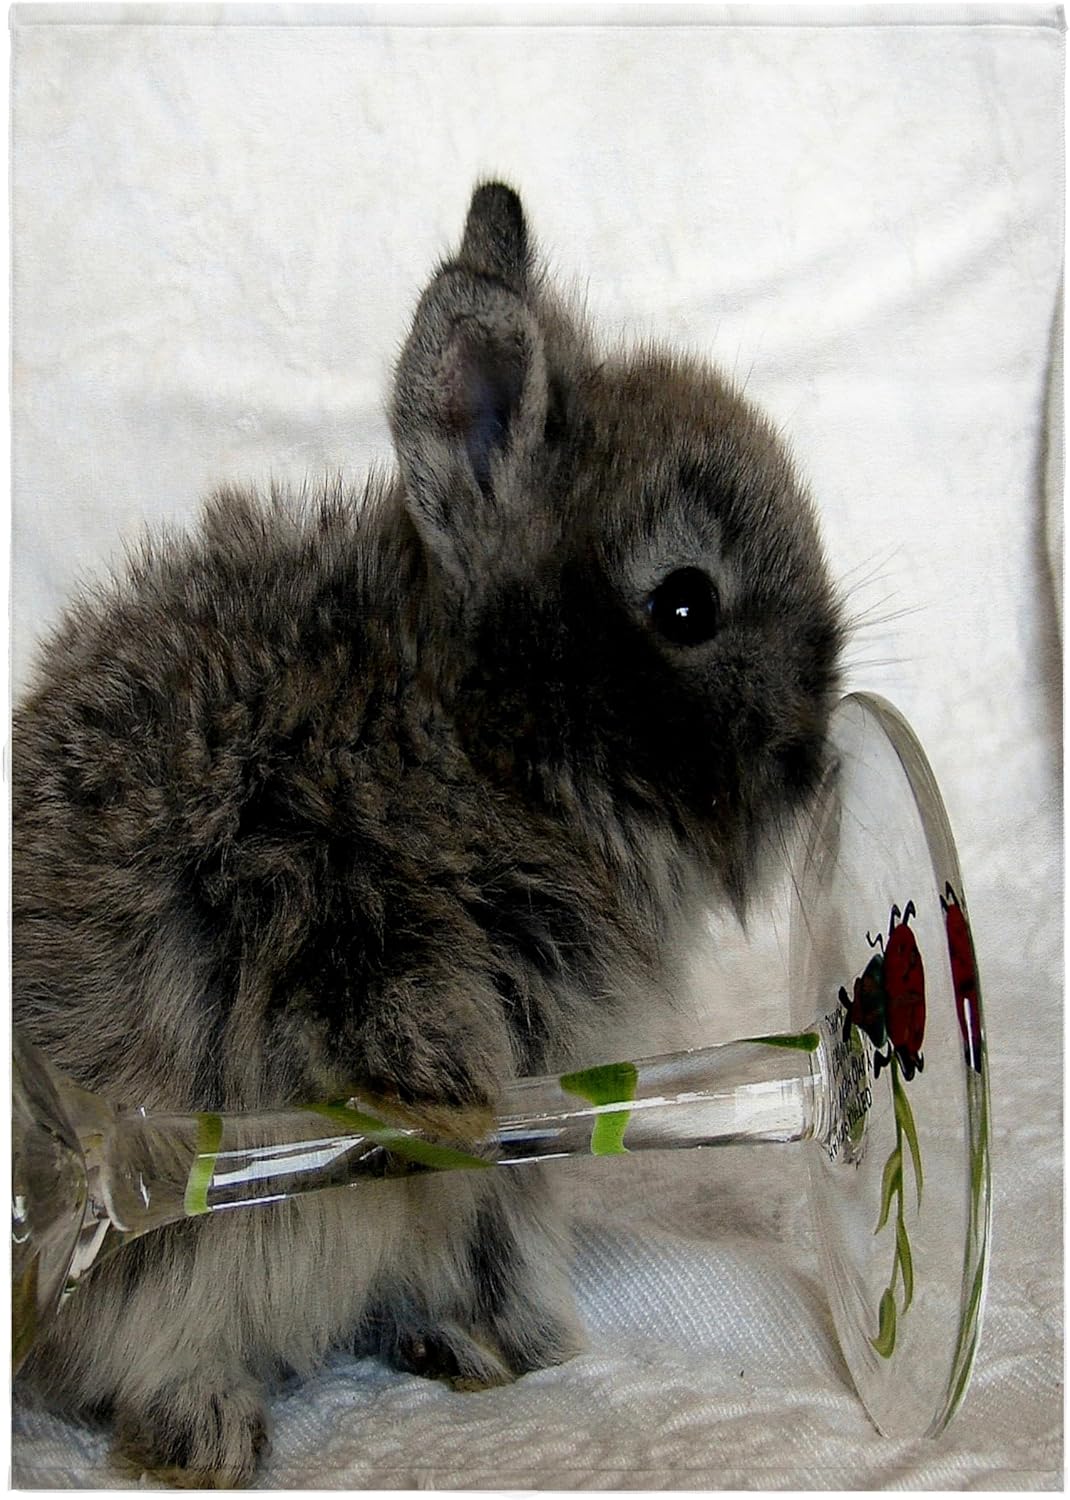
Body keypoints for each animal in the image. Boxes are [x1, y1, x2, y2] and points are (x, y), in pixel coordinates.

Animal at [13, 182, 844, 1487]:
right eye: (683, 606)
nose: (810, 759)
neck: (482, 731)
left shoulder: (513, 1165)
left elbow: (489, 1222)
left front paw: (500, 1348)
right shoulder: (308, 881)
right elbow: (382, 1021)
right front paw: (447, 1113)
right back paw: (207, 1426)